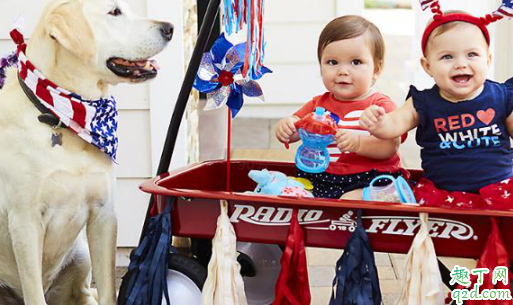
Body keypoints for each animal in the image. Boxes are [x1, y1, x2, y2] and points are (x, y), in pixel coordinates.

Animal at [0, 0, 172, 302]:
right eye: (114, 12)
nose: (169, 28)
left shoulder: (104, 213)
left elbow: (108, 290)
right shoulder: (25, 221)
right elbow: (34, 294)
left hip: (80, 255)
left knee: (83, 293)